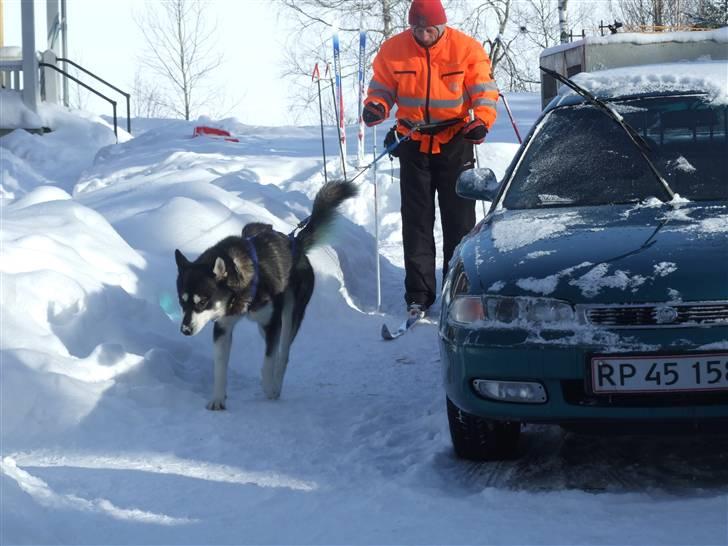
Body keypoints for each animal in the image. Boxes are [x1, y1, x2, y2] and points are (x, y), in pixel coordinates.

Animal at [176, 181, 358, 406]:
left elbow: (269, 361)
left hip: (289, 317)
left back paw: (276, 385)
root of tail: (296, 245)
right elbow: (220, 367)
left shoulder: (272, 324)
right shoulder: (223, 327)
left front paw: (269, 387)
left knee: (283, 354)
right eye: (182, 302)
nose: (185, 330)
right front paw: (218, 399)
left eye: (202, 302)